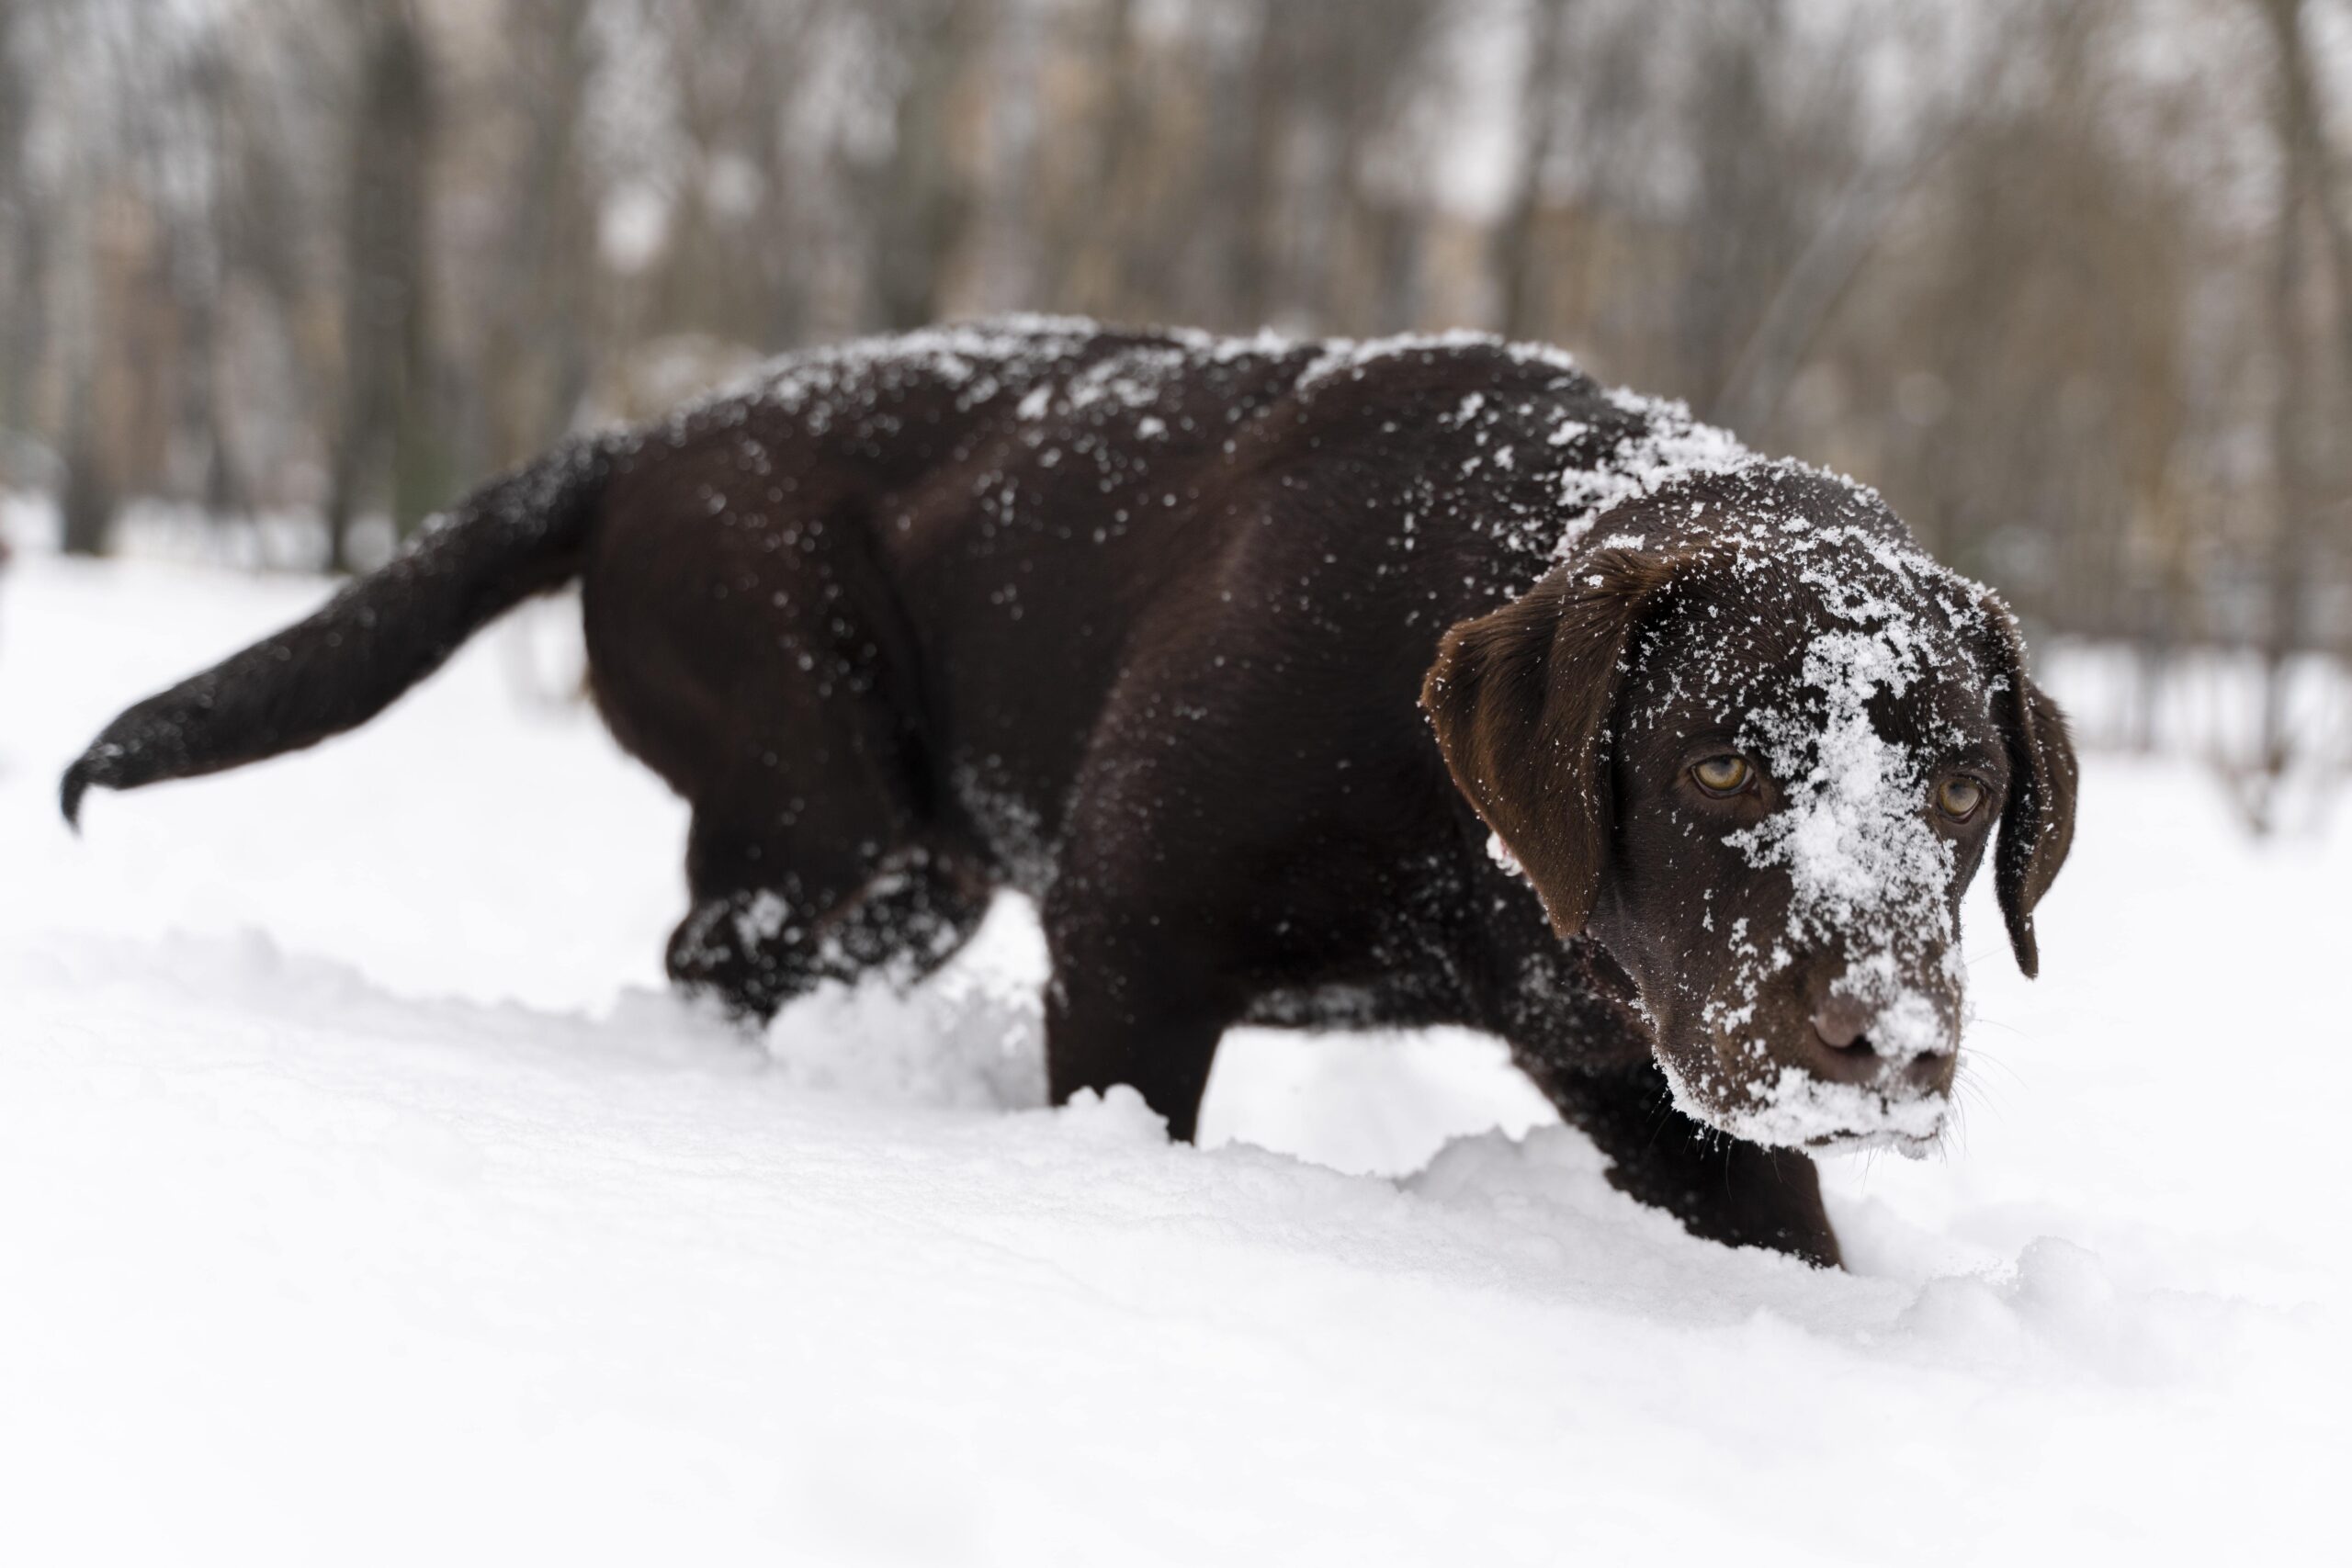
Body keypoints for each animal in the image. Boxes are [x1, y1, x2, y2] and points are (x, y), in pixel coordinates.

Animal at [64, 320, 2069, 1259]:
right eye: (1721, 757)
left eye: (1964, 783)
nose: (1886, 1042)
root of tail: (647, 437)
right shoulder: (1129, 944)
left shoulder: (1648, 1082)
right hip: (835, 809)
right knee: (713, 950)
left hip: (904, 866)